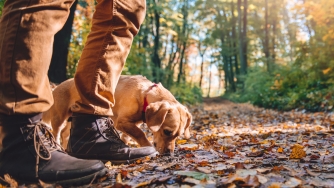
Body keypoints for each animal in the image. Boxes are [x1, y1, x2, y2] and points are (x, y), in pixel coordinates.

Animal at [43, 75, 192, 154]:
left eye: (178, 136)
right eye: (166, 132)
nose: (169, 154)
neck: (145, 94)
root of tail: (56, 87)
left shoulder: (132, 123)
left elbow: (127, 136)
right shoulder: (122, 122)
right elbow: (140, 134)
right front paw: (147, 146)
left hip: (73, 118)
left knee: (65, 134)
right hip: (59, 118)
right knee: (56, 133)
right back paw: (58, 147)